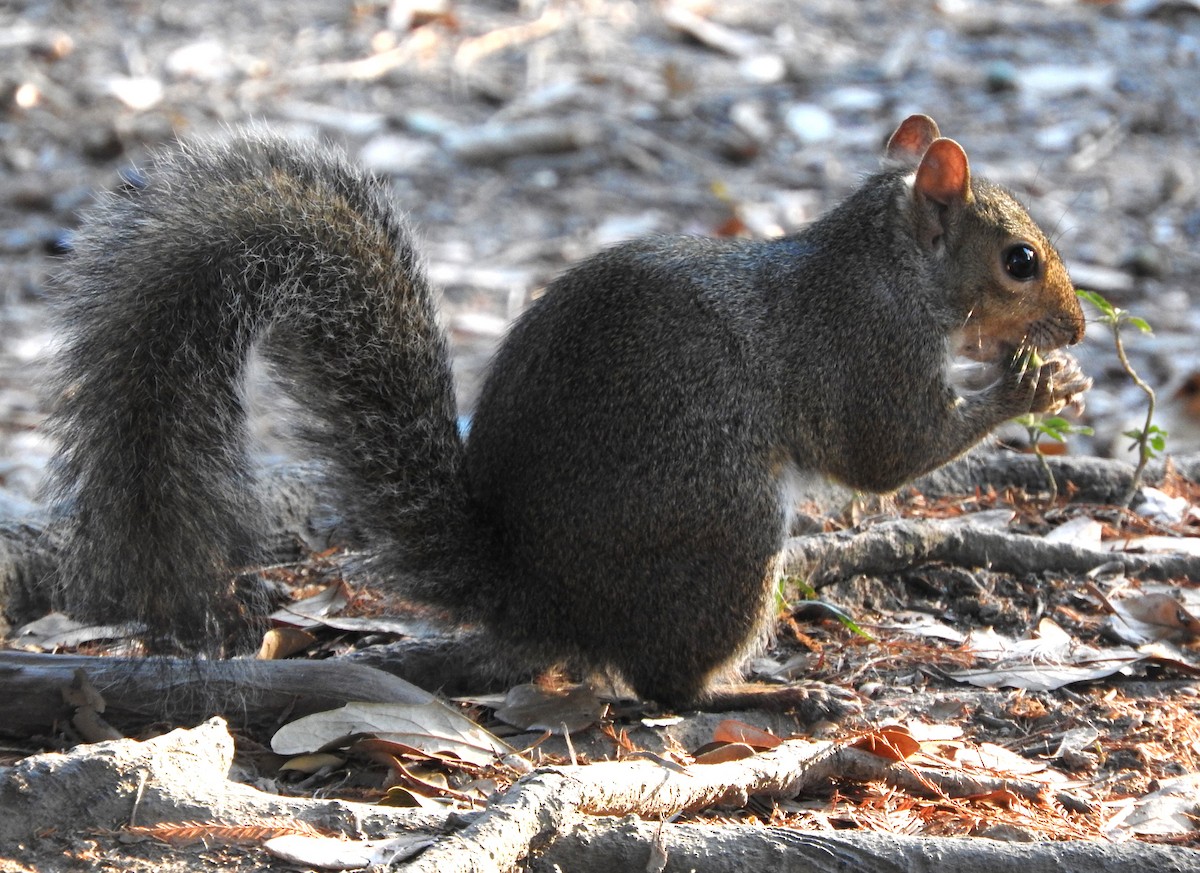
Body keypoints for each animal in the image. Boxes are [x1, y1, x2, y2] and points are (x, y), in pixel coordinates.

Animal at [43, 114, 1089, 716]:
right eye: (1020, 260)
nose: (1080, 325)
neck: (889, 264)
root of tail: (536, 594)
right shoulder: (864, 350)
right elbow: (887, 455)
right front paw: (1032, 386)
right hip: (723, 531)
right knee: (661, 683)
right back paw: (758, 691)